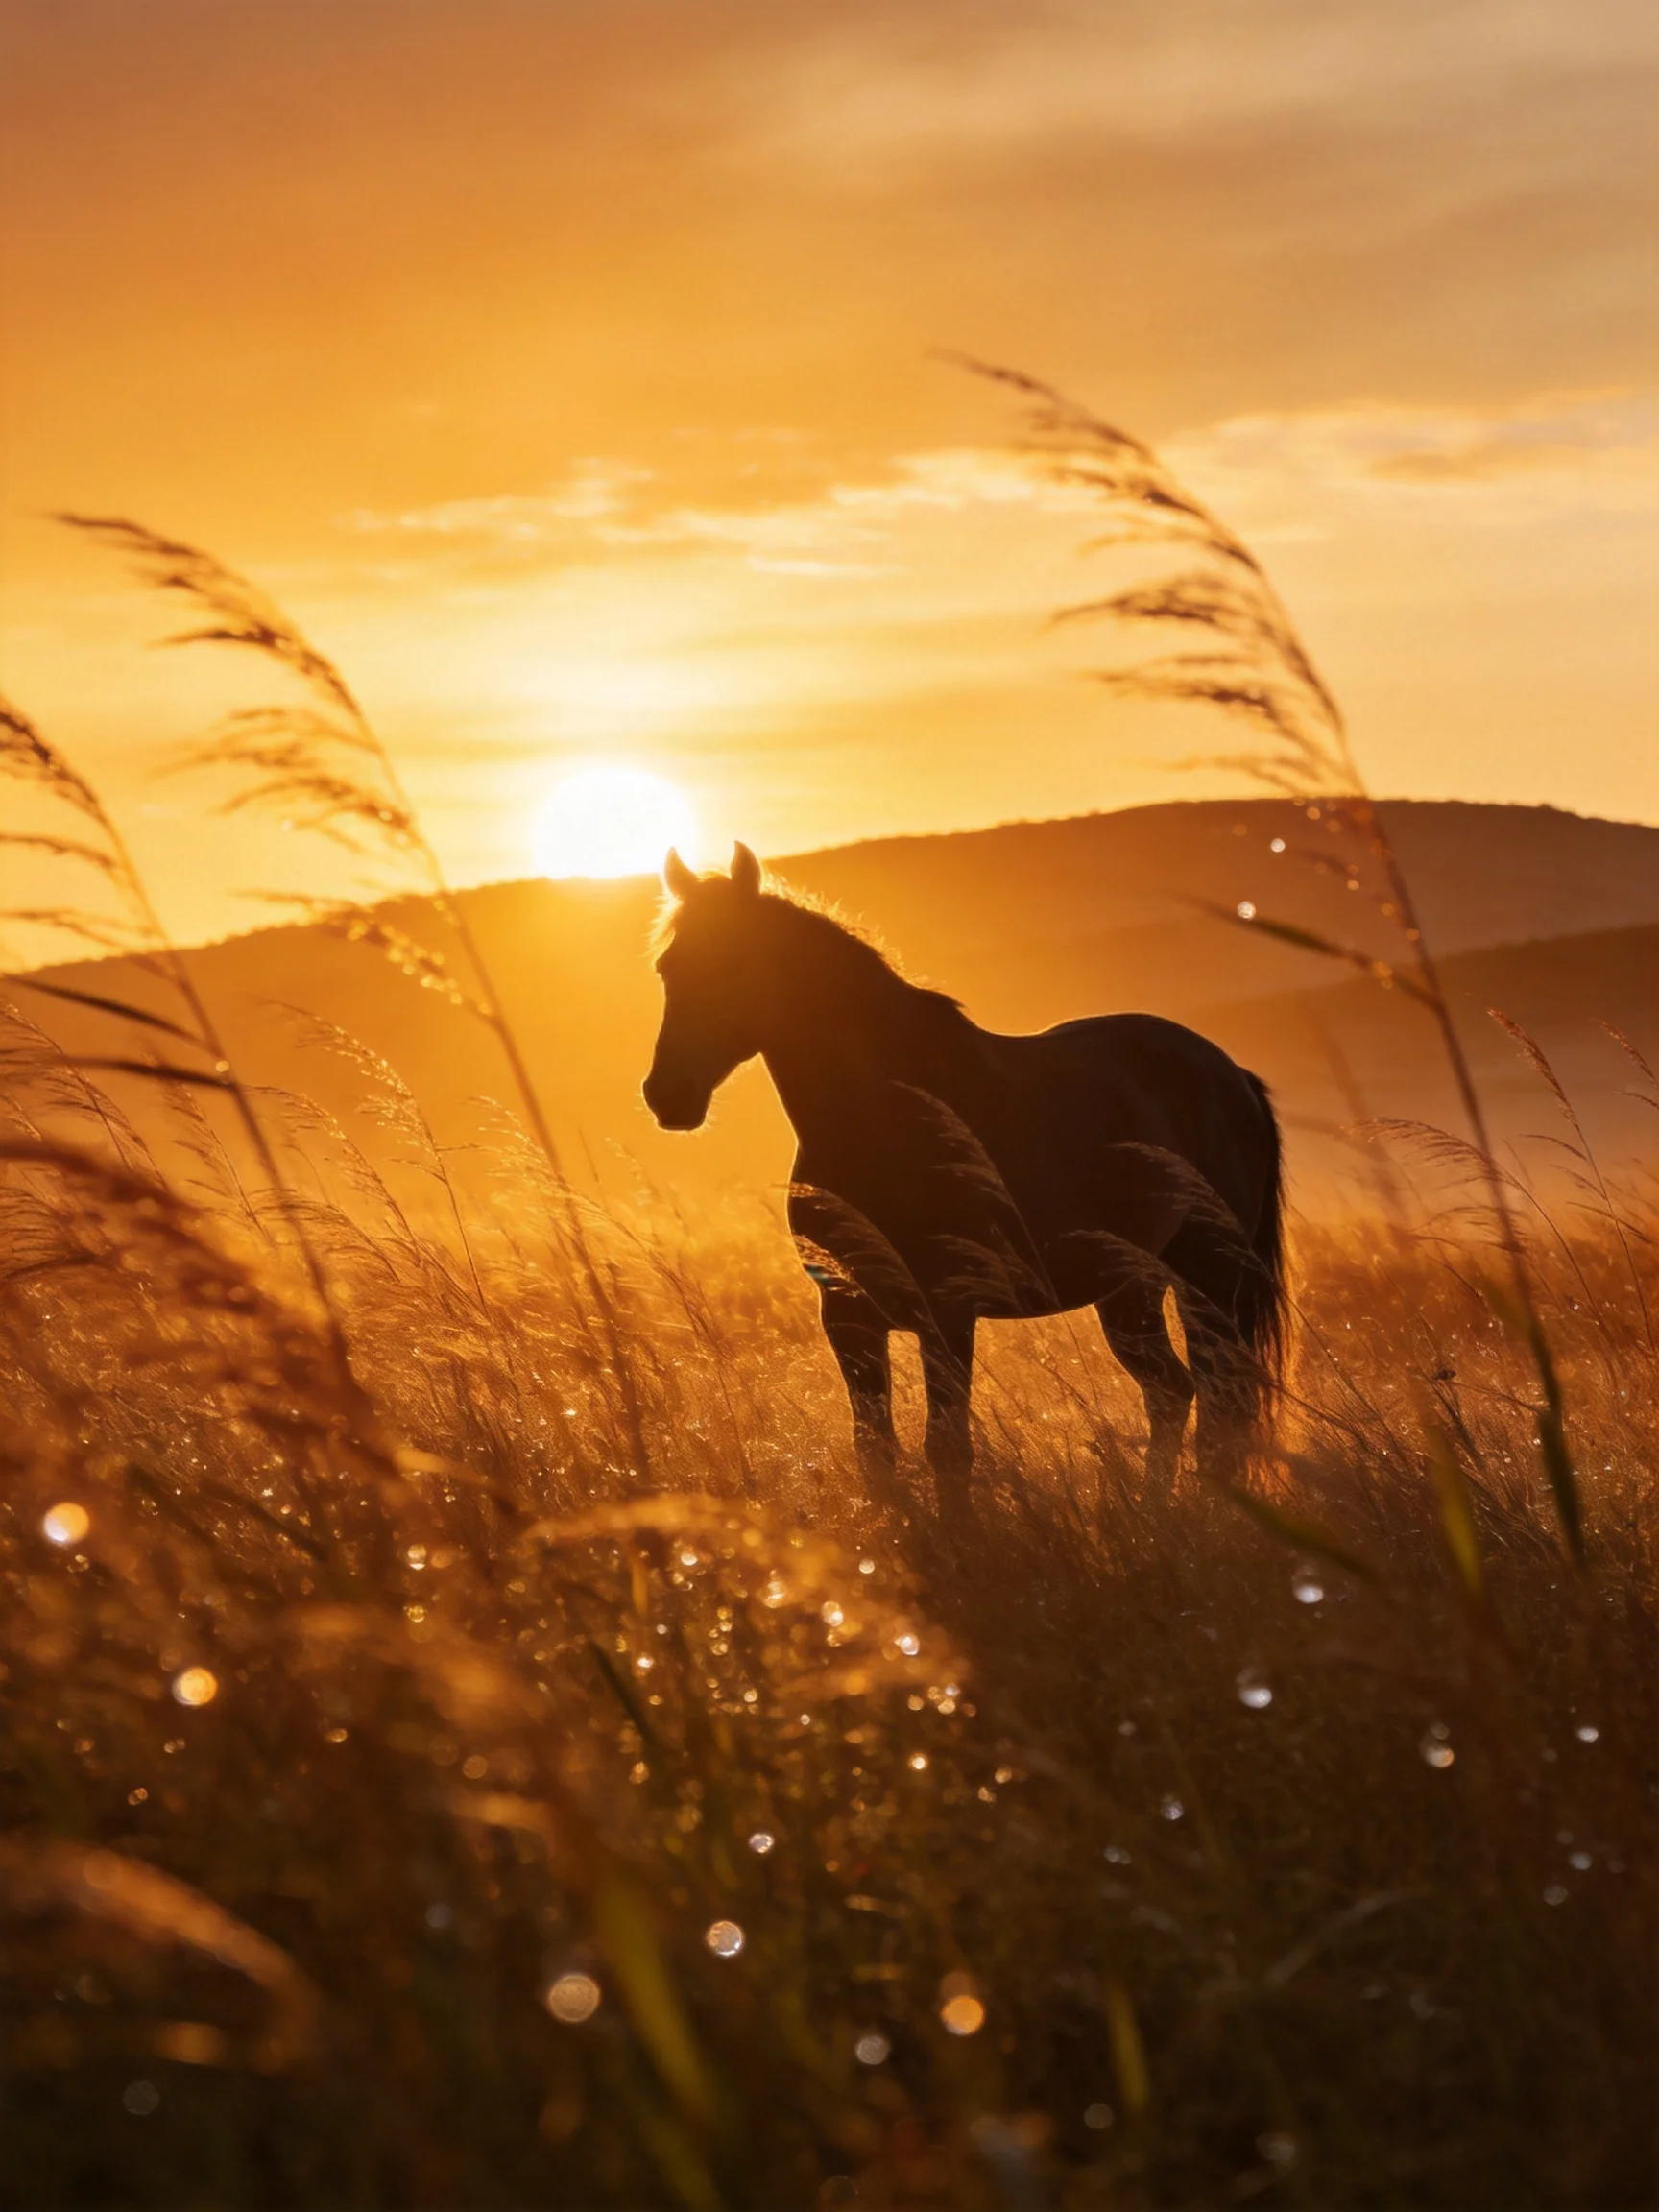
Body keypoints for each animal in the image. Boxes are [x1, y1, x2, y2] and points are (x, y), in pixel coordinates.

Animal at [643, 842, 1285, 1506]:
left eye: (736, 964)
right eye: (668, 967)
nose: (668, 1095)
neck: (882, 1118)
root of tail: (1230, 1073)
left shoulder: (947, 1313)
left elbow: (947, 1449)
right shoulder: (847, 1316)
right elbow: (876, 1452)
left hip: (1210, 1276)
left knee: (1218, 1400)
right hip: (1129, 1289)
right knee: (1173, 1393)